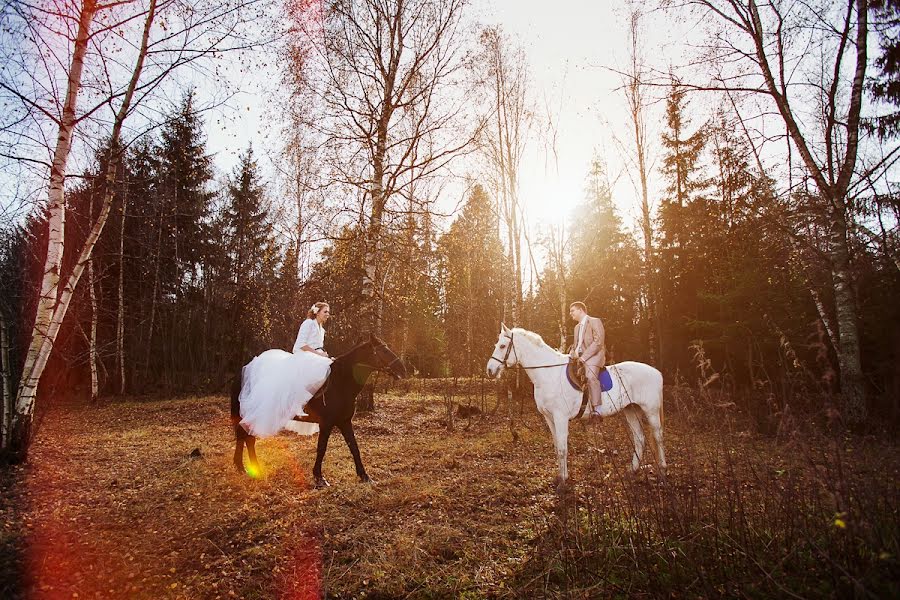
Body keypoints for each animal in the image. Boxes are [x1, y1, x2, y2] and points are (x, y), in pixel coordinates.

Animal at [230, 336, 406, 486]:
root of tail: (244, 372)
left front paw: (365, 476)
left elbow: (354, 447)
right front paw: (319, 478)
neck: (339, 383)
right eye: (384, 351)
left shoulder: (344, 422)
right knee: (245, 436)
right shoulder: (326, 423)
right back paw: (245, 468)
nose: (403, 369)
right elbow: (322, 448)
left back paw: (249, 467)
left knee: (247, 437)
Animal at [486, 324, 668, 482]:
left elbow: (562, 449)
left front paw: (563, 482)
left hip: (650, 411)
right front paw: (561, 476)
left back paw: (662, 470)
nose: (490, 370)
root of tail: (656, 372)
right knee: (639, 439)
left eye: (502, 346)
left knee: (658, 437)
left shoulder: (560, 418)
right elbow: (557, 447)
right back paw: (633, 470)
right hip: (631, 410)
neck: (549, 374)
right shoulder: (549, 418)